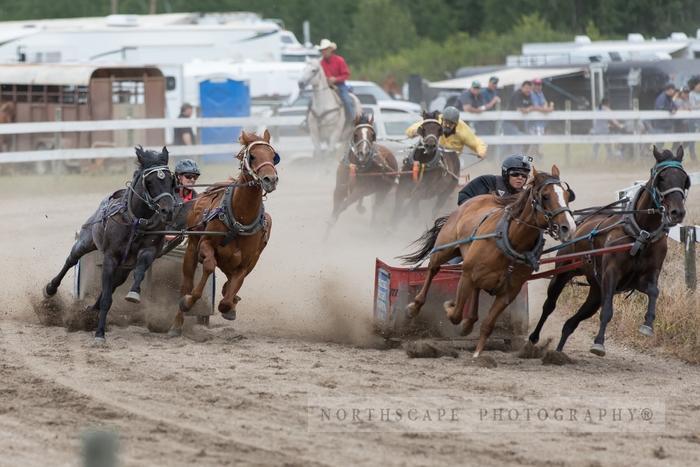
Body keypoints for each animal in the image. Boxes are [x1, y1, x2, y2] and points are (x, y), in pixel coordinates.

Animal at [43, 146, 176, 344]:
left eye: (170, 180)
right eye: (150, 181)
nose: (168, 210)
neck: (135, 221)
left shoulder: (148, 251)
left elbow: (140, 269)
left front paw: (134, 293)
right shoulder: (110, 258)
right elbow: (106, 297)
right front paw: (99, 334)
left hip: (123, 269)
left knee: (113, 284)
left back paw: (91, 310)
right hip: (86, 241)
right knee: (71, 259)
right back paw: (50, 289)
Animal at [169, 130, 278, 338]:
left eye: (273, 156)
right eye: (252, 156)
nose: (271, 179)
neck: (239, 219)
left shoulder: (245, 264)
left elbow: (229, 295)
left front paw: (229, 306)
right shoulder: (205, 244)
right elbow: (208, 267)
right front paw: (188, 302)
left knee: (229, 283)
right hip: (191, 250)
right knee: (187, 283)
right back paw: (177, 324)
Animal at [400, 167, 576, 358]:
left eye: (567, 195)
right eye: (545, 196)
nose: (569, 227)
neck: (510, 240)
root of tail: (474, 200)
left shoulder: (509, 292)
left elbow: (488, 324)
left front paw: (477, 354)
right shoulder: (466, 275)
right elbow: (455, 314)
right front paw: (449, 307)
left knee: (476, 290)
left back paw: (469, 322)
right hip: (444, 249)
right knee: (433, 269)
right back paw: (414, 306)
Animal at [532, 146, 688, 358]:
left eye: (684, 179)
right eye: (661, 178)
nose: (677, 212)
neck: (641, 233)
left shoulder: (645, 276)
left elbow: (654, 292)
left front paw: (647, 324)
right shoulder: (611, 274)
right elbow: (607, 311)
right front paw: (598, 343)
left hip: (595, 291)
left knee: (570, 324)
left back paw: (558, 353)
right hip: (563, 272)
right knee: (549, 306)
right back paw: (533, 338)